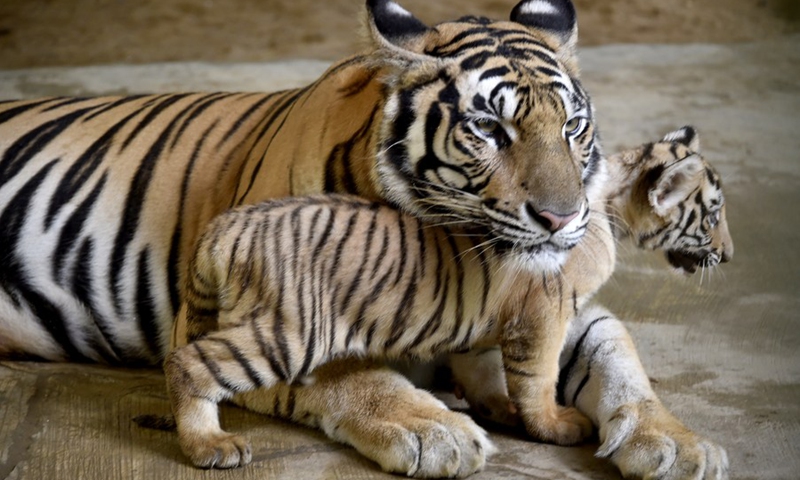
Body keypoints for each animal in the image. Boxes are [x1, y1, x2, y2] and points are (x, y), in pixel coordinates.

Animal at [0, 0, 724, 478]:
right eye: (490, 130)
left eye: (573, 126)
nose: (562, 217)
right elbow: (343, 372)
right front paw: (431, 428)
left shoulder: (545, 306)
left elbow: (616, 355)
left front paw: (680, 444)